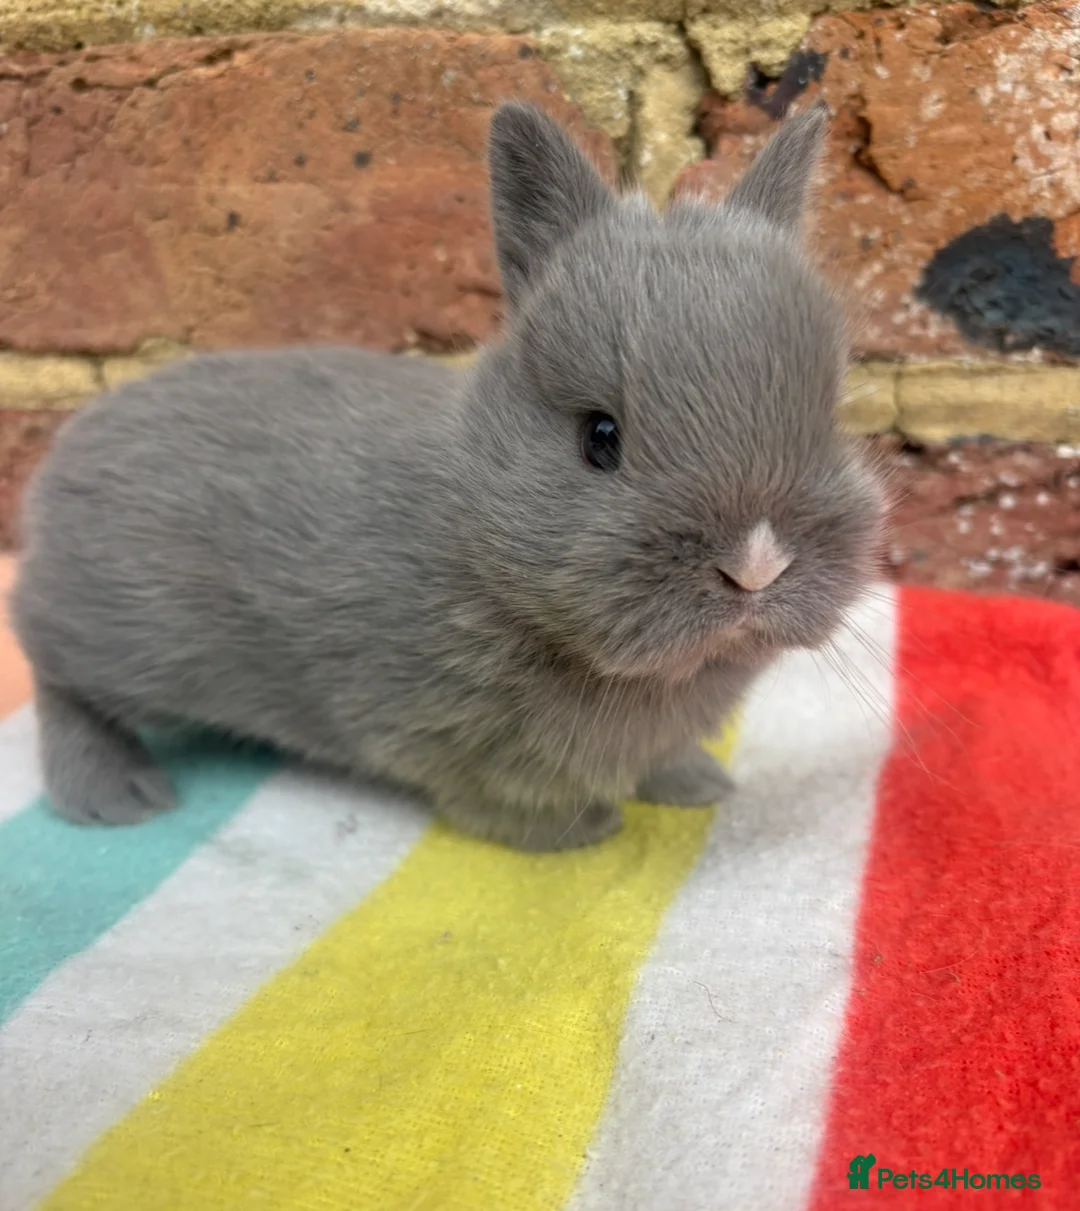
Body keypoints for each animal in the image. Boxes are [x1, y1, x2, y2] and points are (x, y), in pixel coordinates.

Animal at [11, 99, 885, 851]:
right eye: (600, 437)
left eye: (825, 417)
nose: (755, 566)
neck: (476, 524)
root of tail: (69, 449)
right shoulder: (439, 731)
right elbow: (492, 798)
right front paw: (580, 830)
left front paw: (699, 786)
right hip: (120, 637)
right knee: (55, 677)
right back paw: (117, 795)